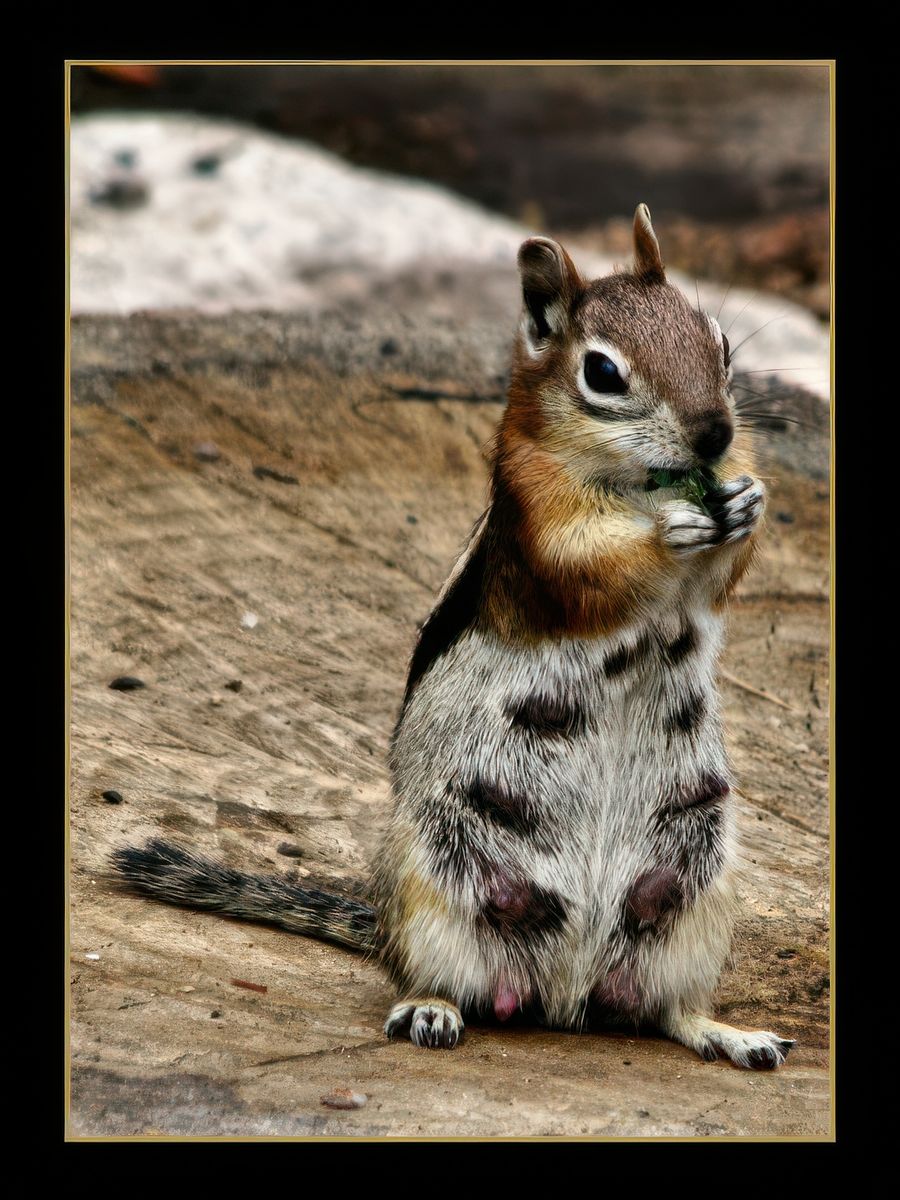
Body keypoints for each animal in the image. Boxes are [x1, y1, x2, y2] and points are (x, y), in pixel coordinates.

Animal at [112, 204, 795, 1070]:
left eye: (721, 342)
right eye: (603, 374)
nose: (713, 434)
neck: (638, 483)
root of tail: (563, 996)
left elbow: (723, 573)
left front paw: (747, 501)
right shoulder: (536, 517)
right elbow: (590, 566)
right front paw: (670, 529)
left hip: (698, 893)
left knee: (666, 1010)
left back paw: (729, 1033)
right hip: (434, 878)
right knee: (436, 974)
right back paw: (430, 1009)